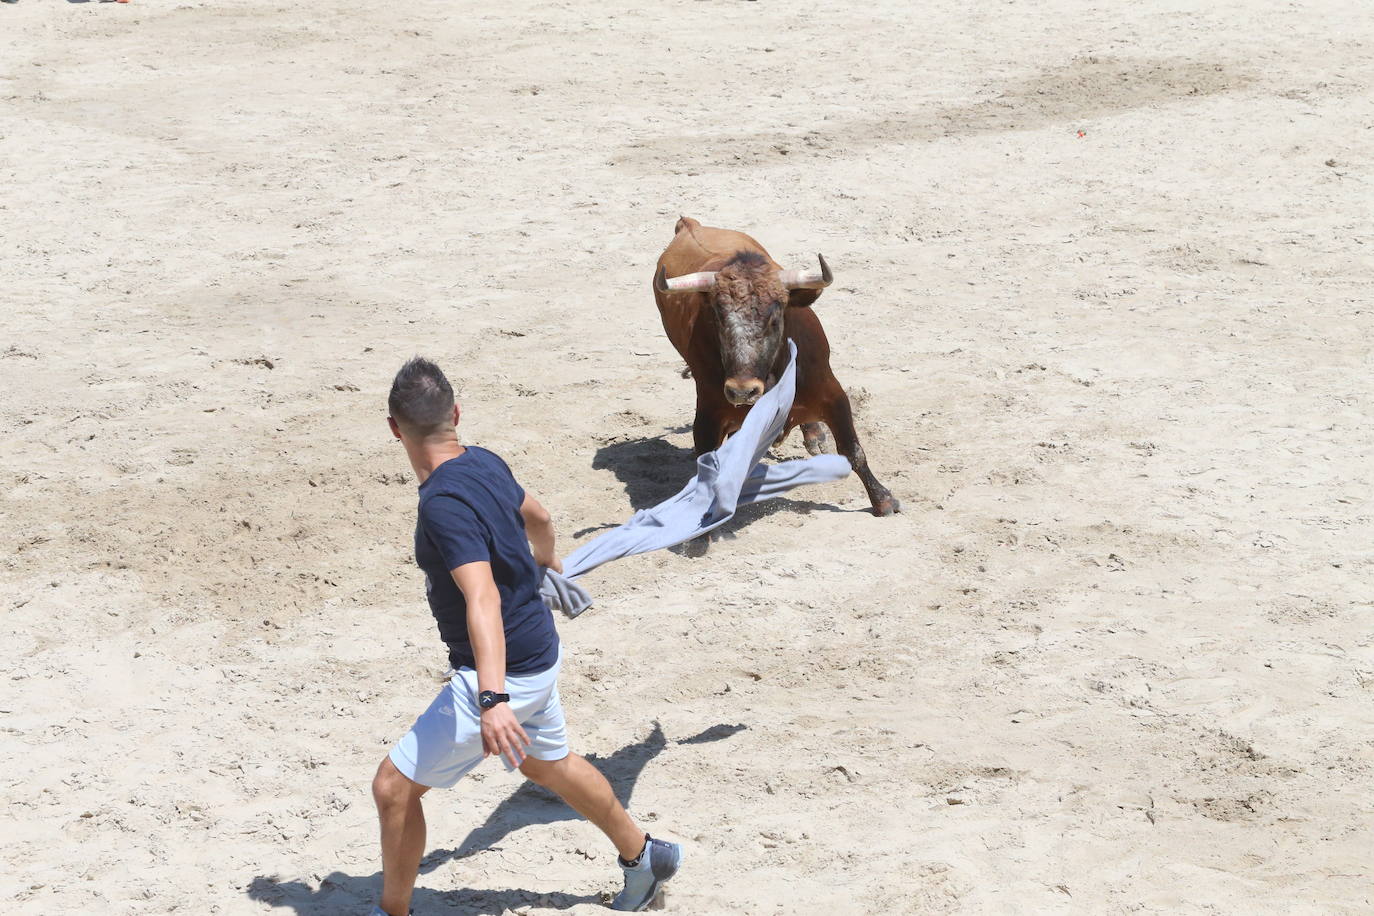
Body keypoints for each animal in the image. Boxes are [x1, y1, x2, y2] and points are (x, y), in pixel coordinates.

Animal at [654, 215, 901, 516]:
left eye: (774, 318)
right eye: (718, 318)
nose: (742, 391)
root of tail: (689, 225)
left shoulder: (833, 394)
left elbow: (852, 450)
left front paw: (883, 500)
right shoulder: (708, 413)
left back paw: (815, 435)